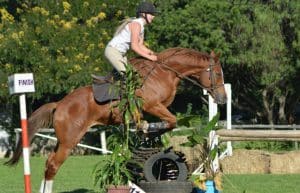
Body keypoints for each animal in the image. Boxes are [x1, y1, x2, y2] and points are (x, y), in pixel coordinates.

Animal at [5, 47, 226, 193]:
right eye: (217, 74)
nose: (223, 99)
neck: (165, 73)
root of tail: (59, 104)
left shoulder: (154, 109)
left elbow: (168, 124)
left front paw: (148, 133)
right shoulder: (152, 106)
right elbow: (172, 121)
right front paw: (148, 128)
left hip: (63, 140)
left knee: (48, 164)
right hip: (70, 141)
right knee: (52, 165)